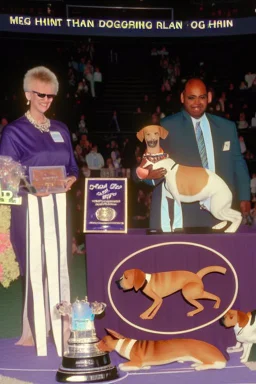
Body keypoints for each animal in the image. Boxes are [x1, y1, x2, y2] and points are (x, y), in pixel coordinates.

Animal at [97, 328, 226, 370]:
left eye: (104, 341)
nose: (95, 345)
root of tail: (222, 356)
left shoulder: (136, 362)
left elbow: (122, 365)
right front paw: (146, 367)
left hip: (202, 355)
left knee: (216, 364)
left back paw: (200, 367)